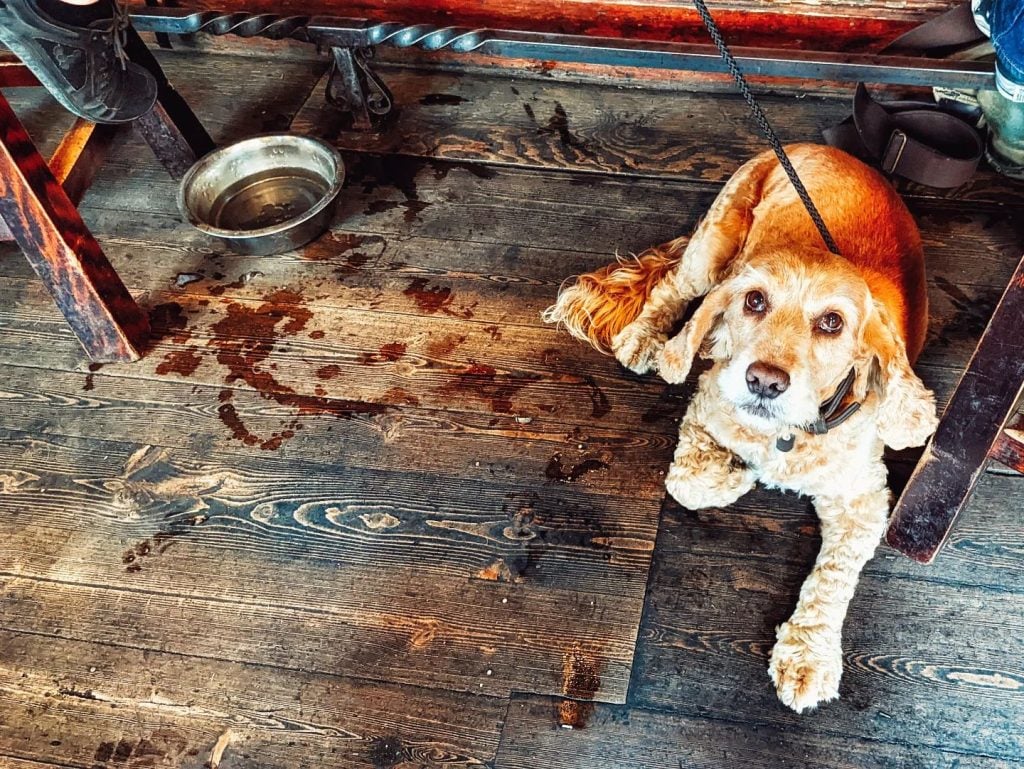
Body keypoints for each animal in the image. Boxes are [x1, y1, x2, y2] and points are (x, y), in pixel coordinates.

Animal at [548, 144, 937, 716]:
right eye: (755, 301)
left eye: (832, 323)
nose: (764, 381)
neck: (788, 433)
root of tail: (816, 146)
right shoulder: (706, 404)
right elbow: (690, 482)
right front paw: (741, 473)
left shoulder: (864, 499)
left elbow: (832, 578)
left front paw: (808, 657)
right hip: (713, 244)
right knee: (672, 288)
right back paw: (644, 338)